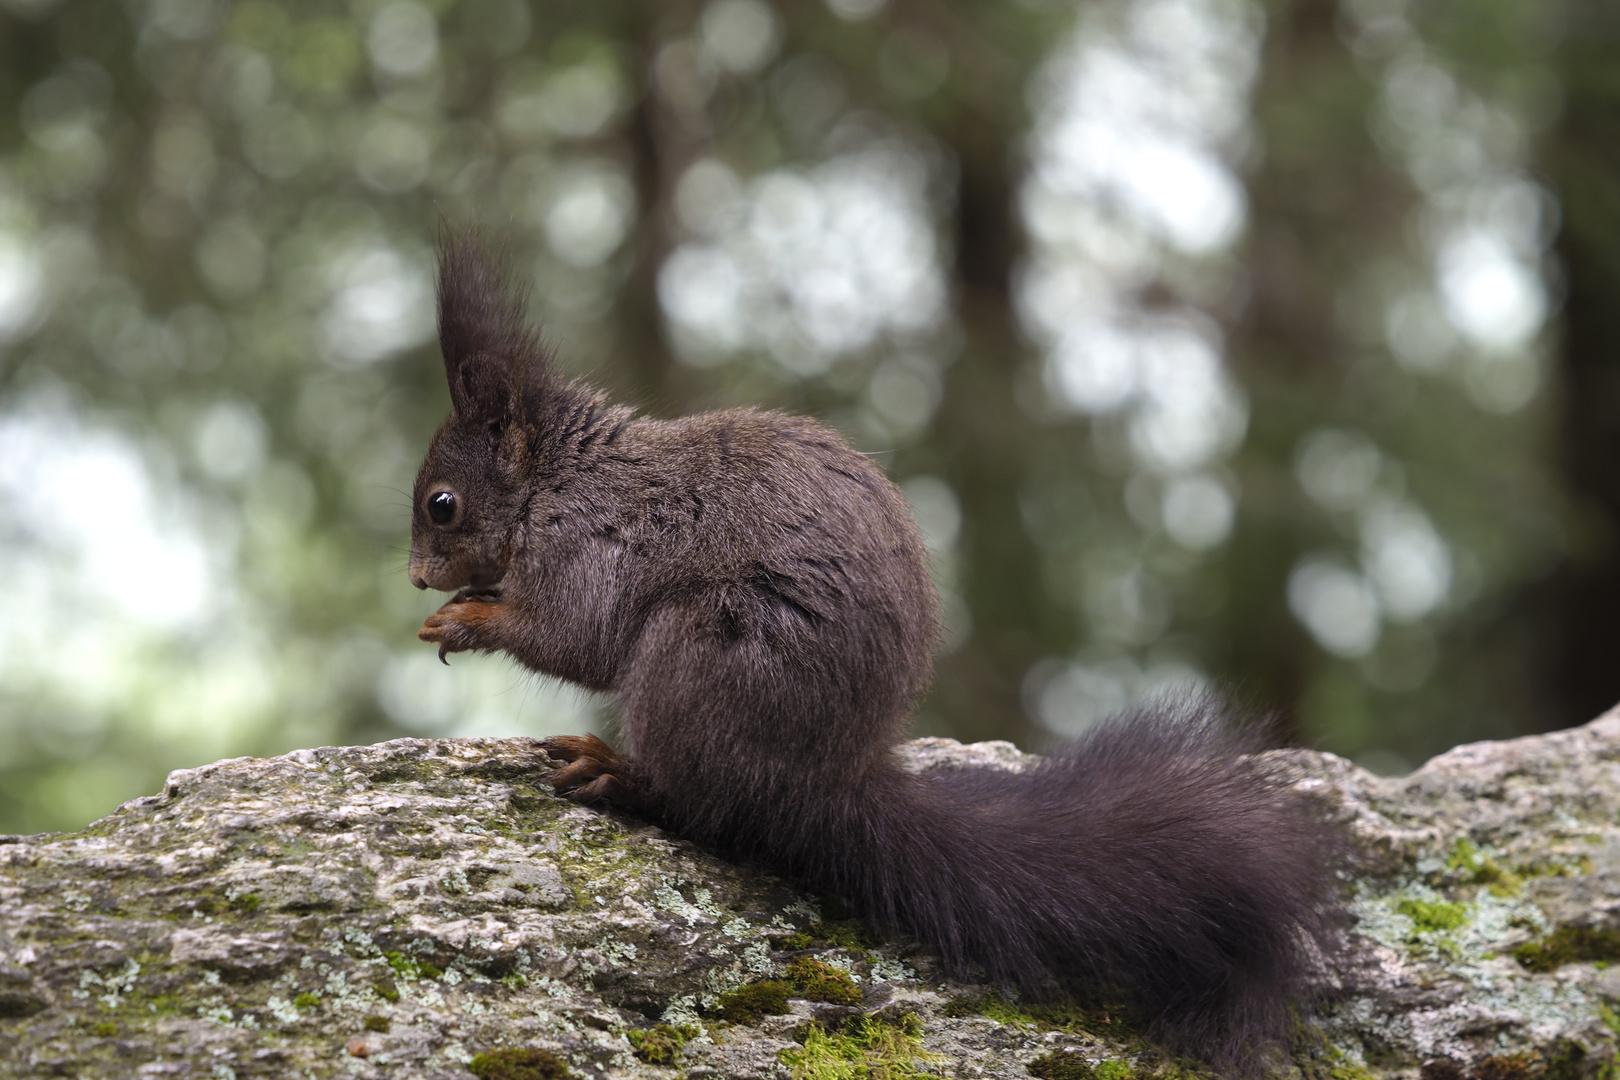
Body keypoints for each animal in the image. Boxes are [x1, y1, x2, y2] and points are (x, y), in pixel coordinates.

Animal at [411, 229, 1347, 1075]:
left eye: (442, 504)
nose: (419, 577)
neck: (556, 483)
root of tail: (832, 785)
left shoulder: (593, 547)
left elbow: (577, 637)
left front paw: (470, 621)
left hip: (704, 658)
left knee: (704, 804)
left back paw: (619, 771)